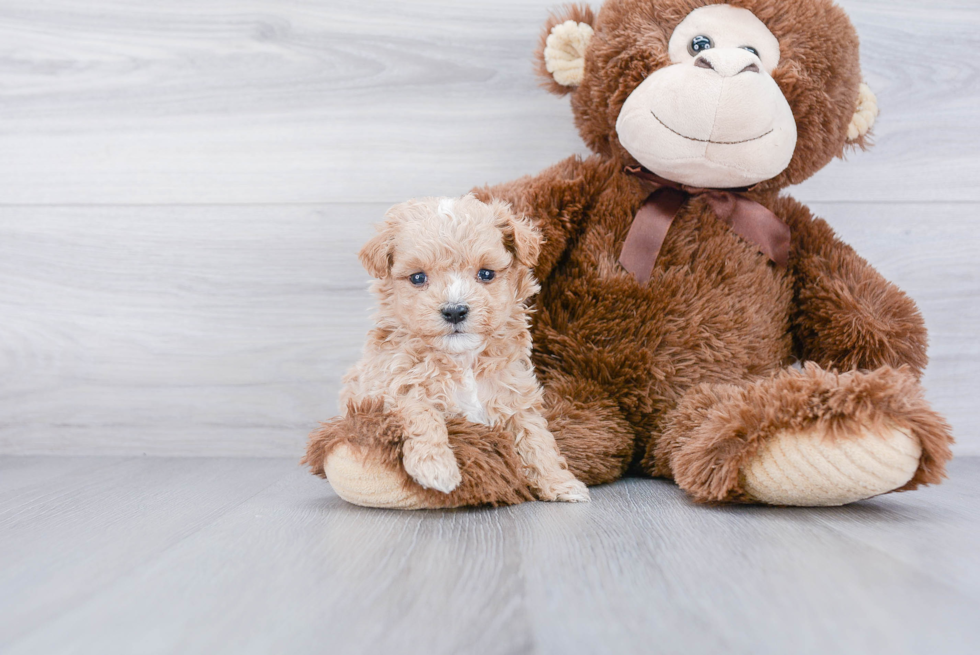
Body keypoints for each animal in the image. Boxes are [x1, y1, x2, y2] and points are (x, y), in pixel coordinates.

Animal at [340, 195, 588, 502]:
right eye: (418, 278)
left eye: (486, 273)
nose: (455, 311)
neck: (462, 359)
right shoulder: (387, 391)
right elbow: (421, 411)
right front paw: (435, 468)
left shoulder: (515, 396)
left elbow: (536, 437)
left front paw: (559, 482)